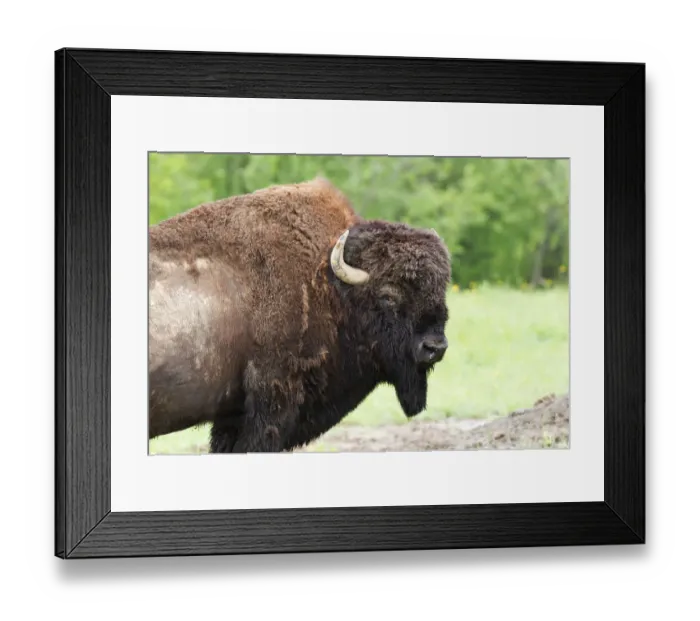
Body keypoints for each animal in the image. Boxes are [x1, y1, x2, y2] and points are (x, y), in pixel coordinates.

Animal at [148, 177, 451, 453]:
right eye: (388, 296)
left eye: (440, 292)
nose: (435, 347)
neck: (327, 283)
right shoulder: (271, 401)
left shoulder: (232, 416)